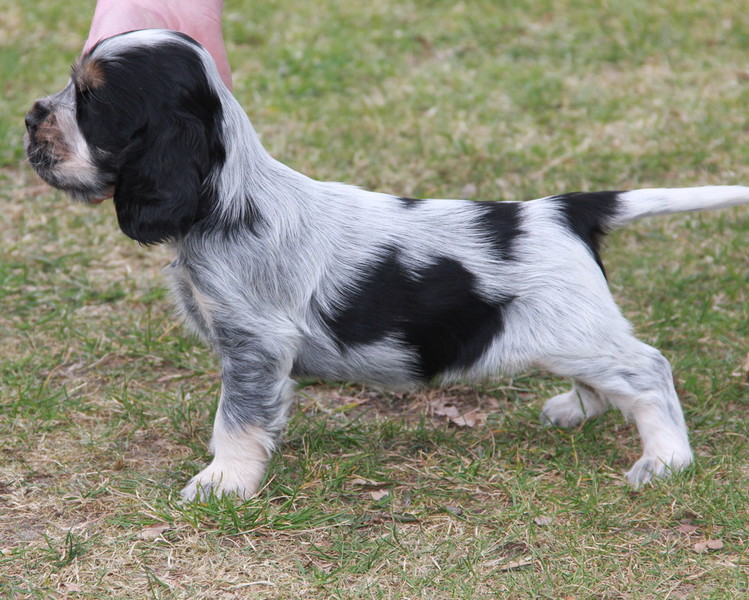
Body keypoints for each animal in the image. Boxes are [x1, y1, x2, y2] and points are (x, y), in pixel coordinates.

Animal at [24, 29, 749, 500]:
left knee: (648, 371)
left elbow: (237, 420)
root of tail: (560, 209)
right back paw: (573, 410)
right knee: (608, 380)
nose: (31, 116)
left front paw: (221, 482)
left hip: (580, 333)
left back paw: (666, 461)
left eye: (91, 103)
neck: (227, 195)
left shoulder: (255, 343)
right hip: (573, 332)